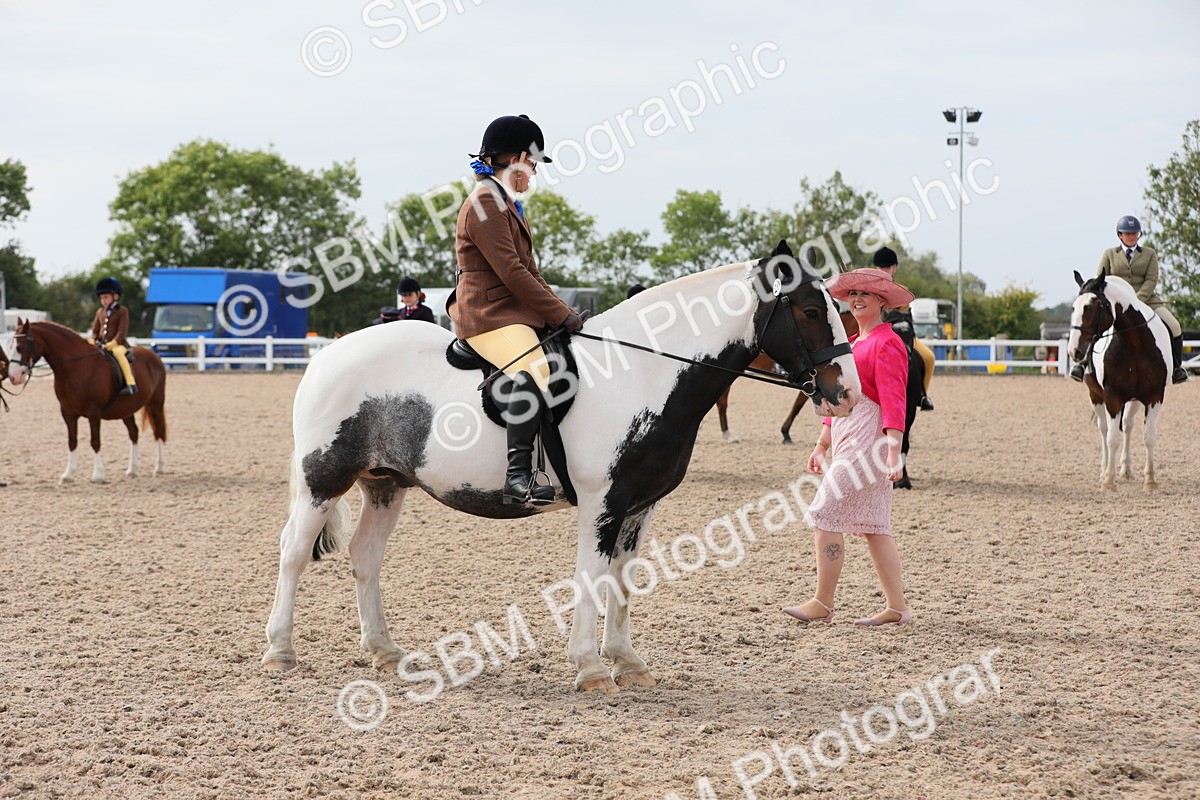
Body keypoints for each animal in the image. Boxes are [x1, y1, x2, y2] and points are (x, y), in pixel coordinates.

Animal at [7, 320, 169, 483]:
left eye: (20, 347)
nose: (13, 377)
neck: (76, 366)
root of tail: (153, 356)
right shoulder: (68, 413)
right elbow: (72, 441)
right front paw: (68, 474)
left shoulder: (93, 412)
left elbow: (95, 441)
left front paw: (98, 475)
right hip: (126, 410)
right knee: (133, 433)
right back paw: (132, 469)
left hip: (155, 405)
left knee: (158, 431)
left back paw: (159, 467)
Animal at [263, 241, 861, 693]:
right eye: (811, 311)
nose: (847, 394)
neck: (644, 371)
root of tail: (329, 353)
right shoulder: (602, 502)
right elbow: (590, 576)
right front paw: (591, 668)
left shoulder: (640, 505)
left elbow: (624, 579)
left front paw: (627, 661)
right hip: (324, 481)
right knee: (293, 551)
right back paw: (280, 651)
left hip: (385, 484)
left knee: (365, 556)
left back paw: (384, 652)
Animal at [1068, 271, 1170, 491]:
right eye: (1073, 307)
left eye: (1089, 307)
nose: (1073, 351)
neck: (1135, 345)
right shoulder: (1112, 397)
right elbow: (1112, 438)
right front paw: (1108, 481)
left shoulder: (1154, 397)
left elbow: (1149, 437)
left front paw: (1150, 481)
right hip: (1096, 396)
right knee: (1104, 429)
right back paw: (1105, 470)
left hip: (1133, 400)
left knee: (1128, 426)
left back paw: (1126, 470)